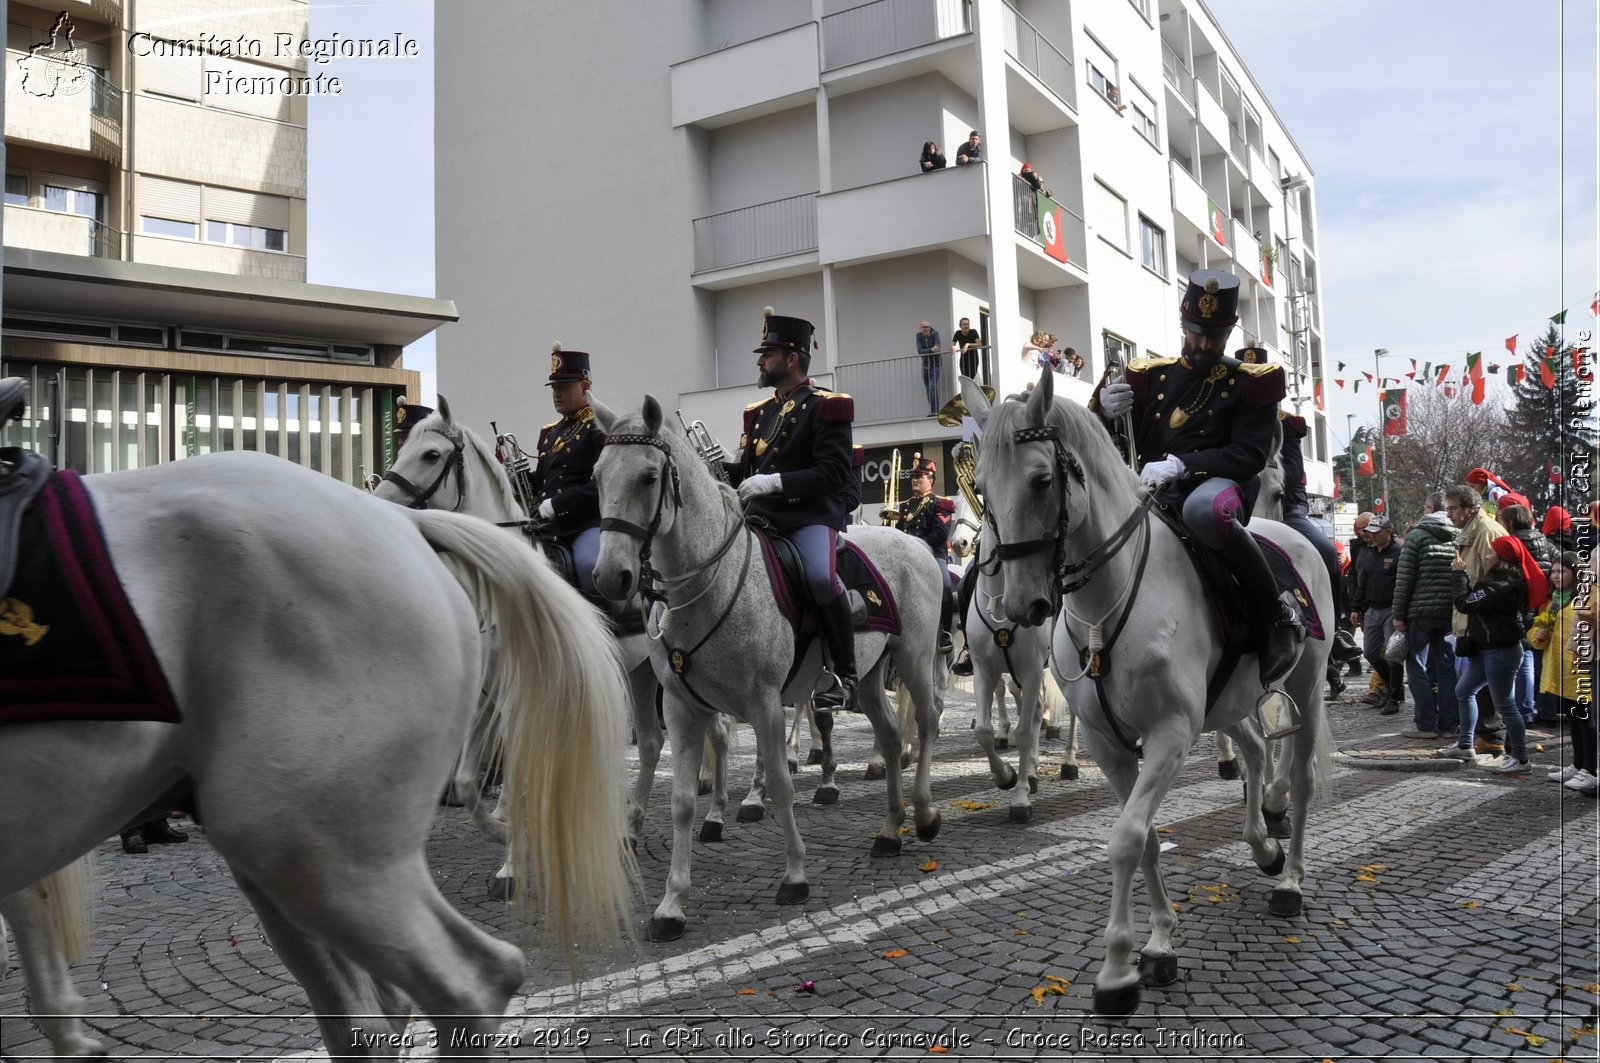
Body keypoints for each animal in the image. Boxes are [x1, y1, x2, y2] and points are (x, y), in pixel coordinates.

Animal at [374, 397, 732, 864]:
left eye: (431, 455)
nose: (377, 505)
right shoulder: (489, 691)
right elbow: (470, 780)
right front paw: (499, 830)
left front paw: (511, 859)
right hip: (641, 673)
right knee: (653, 743)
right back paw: (632, 829)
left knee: (718, 733)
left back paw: (717, 816)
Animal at [588, 397, 940, 941]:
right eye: (598, 476)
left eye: (648, 476)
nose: (611, 578)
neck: (708, 584)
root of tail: (915, 544)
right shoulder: (683, 708)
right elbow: (683, 801)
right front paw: (671, 904)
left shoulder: (765, 702)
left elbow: (779, 782)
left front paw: (794, 875)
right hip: (870, 675)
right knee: (885, 734)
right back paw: (889, 829)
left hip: (916, 659)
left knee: (924, 722)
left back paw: (922, 814)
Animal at [960, 369, 1337, 1018]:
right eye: (981, 488)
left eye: (1040, 479)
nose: (1021, 605)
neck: (1103, 608)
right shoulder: (1111, 745)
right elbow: (1150, 840)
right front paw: (1158, 945)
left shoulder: (1170, 735)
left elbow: (1127, 839)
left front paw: (1117, 970)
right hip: (1230, 703)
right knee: (1256, 752)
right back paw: (1262, 846)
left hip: (1306, 690)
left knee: (1303, 777)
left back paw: (1289, 878)